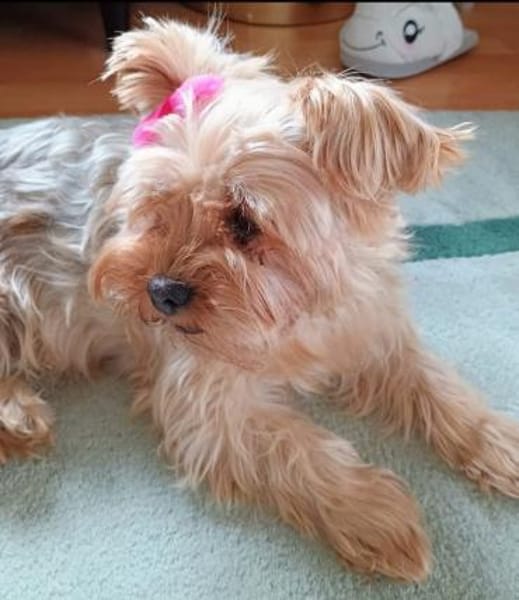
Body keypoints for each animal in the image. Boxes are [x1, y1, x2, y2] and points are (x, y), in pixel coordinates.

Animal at [1, 16, 518, 582]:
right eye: (157, 205)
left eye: (244, 222)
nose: (160, 292)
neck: (297, 319)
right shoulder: (208, 406)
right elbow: (299, 448)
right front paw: (378, 514)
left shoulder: (375, 335)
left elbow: (441, 387)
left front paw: (498, 441)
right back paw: (18, 415)